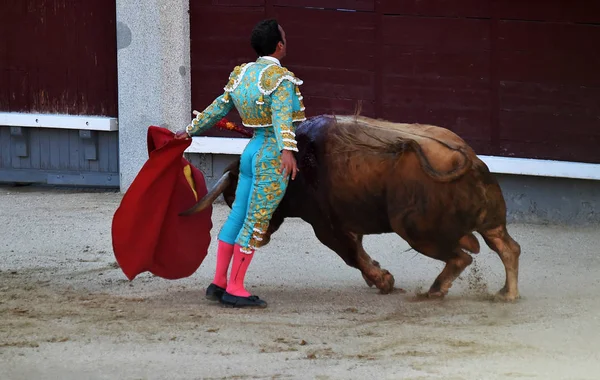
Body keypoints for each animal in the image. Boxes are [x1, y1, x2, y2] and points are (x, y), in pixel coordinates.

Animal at [182, 114, 520, 302]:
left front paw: (383, 280)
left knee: (462, 256)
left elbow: (351, 255)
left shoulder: (325, 225)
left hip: (414, 230)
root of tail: (466, 156)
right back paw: (507, 294)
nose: (260, 236)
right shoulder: (342, 224)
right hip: (490, 221)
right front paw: (381, 276)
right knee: (506, 247)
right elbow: (357, 252)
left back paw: (435, 291)